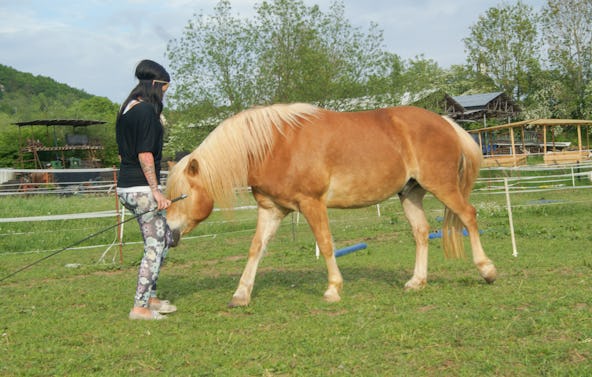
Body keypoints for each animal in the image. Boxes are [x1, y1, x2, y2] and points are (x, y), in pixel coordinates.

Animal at [165, 102, 494, 306]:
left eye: (181, 196)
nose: (169, 233)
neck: (274, 145)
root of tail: (446, 123)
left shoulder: (312, 204)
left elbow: (325, 244)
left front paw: (333, 288)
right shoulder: (271, 210)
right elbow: (255, 249)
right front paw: (241, 294)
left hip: (443, 187)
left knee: (469, 215)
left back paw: (487, 270)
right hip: (410, 193)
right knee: (422, 232)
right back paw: (417, 281)